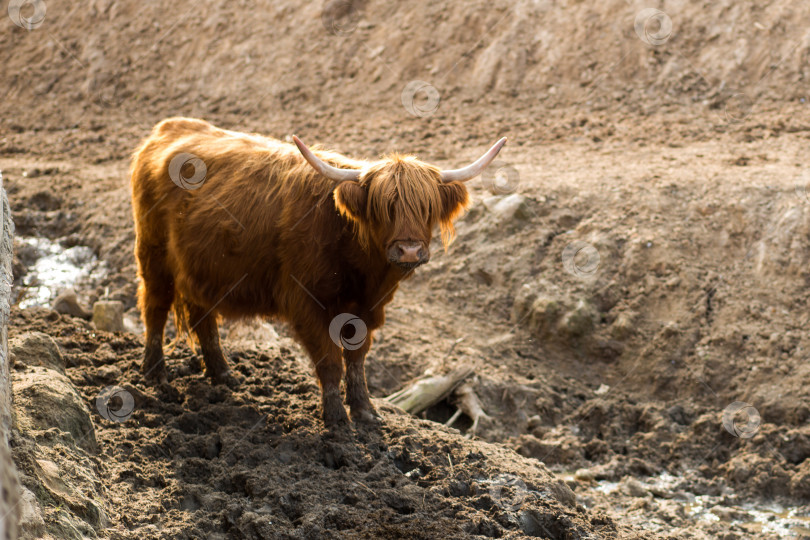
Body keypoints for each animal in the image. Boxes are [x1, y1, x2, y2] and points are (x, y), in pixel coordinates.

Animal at [129, 118, 502, 426]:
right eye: (384, 208)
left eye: (427, 208)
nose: (409, 250)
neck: (361, 266)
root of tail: (170, 127)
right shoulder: (306, 303)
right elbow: (330, 361)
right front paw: (337, 419)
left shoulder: (368, 307)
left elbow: (357, 359)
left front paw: (365, 411)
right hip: (153, 254)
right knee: (155, 307)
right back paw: (156, 374)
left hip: (200, 268)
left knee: (201, 314)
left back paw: (222, 374)